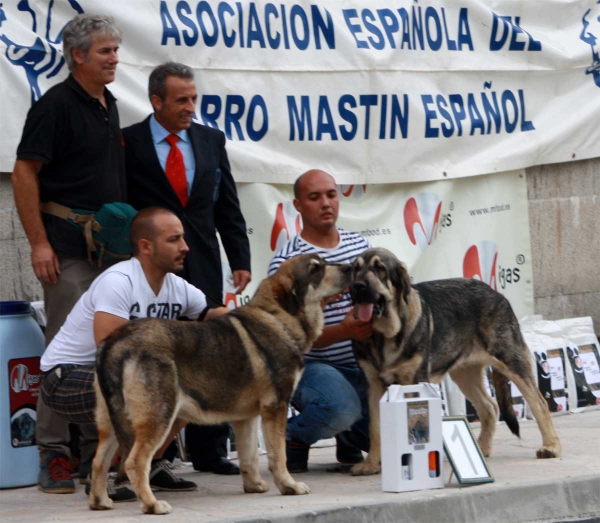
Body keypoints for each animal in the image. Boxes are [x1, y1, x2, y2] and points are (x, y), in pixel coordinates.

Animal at [89, 255, 352, 516]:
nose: (351, 267)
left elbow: (249, 457)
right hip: (160, 416)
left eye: (324, 262)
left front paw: (254, 486)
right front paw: (289, 486)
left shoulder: (246, 417)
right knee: (134, 462)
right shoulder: (275, 408)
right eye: (316, 269)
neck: (277, 317)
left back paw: (100, 502)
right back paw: (152, 505)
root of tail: (115, 342)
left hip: (112, 421)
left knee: (99, 461)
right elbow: (278, 455)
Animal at [350, 248, 560, 476]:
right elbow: (375, 427)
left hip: (512, 361)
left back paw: (551, 446)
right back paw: (480, 449)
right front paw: (371, 464)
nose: (357, 287)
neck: (384, 334)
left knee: (539, 402)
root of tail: (496, 293)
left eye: (380, 268)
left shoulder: (414, 383)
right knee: (490, 407)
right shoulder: (374, 385)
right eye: (356, 268)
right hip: (464, 374)